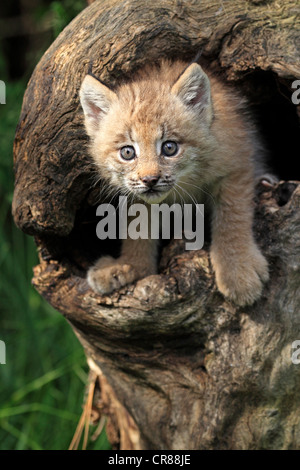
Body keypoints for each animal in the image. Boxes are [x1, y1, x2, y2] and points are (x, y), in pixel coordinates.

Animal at [79, 60, 270, 306]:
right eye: (127, 152)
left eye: (170, 148)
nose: (150, 180)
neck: (185, 181)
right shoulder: (137, 195)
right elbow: (137, 227)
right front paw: (131, 264)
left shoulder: (236, 166)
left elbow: (232, 217)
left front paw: (238, 270)